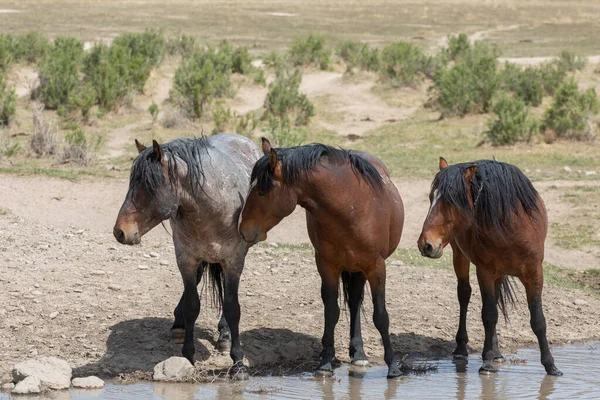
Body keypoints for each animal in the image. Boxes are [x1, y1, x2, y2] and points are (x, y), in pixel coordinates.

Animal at [113, 134, 262, 378]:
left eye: (149, 186)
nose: (120, 231)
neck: (210, 208)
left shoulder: (233, 261)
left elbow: (233, 308)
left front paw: (238, 362)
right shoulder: (185, 258)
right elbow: (192, 305)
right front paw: (188, 355)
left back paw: (224, 335)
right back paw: (179, 325)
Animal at [238, 138, 404, 378]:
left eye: (261, 192)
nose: (243, 230)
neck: (351, 207)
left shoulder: (376, 267)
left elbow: (381, 316)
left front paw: (393, 366)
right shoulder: (327, 266)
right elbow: (331, 312)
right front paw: (325, 362)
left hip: (360, 269)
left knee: (355, 303)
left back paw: (359, 354)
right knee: (352, 303)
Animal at [418, 158, 564, 376]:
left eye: (452, 201)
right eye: (430, 198)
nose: (425, 244)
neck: (512, 229)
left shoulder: (534, 273)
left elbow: (538, 320)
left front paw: (551, 366)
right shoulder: (485, 271)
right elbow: (489, 315)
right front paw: (486, 362)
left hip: (500, 272)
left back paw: (496, 351)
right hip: (460, 256)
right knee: (464, 294)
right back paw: (463, 348)